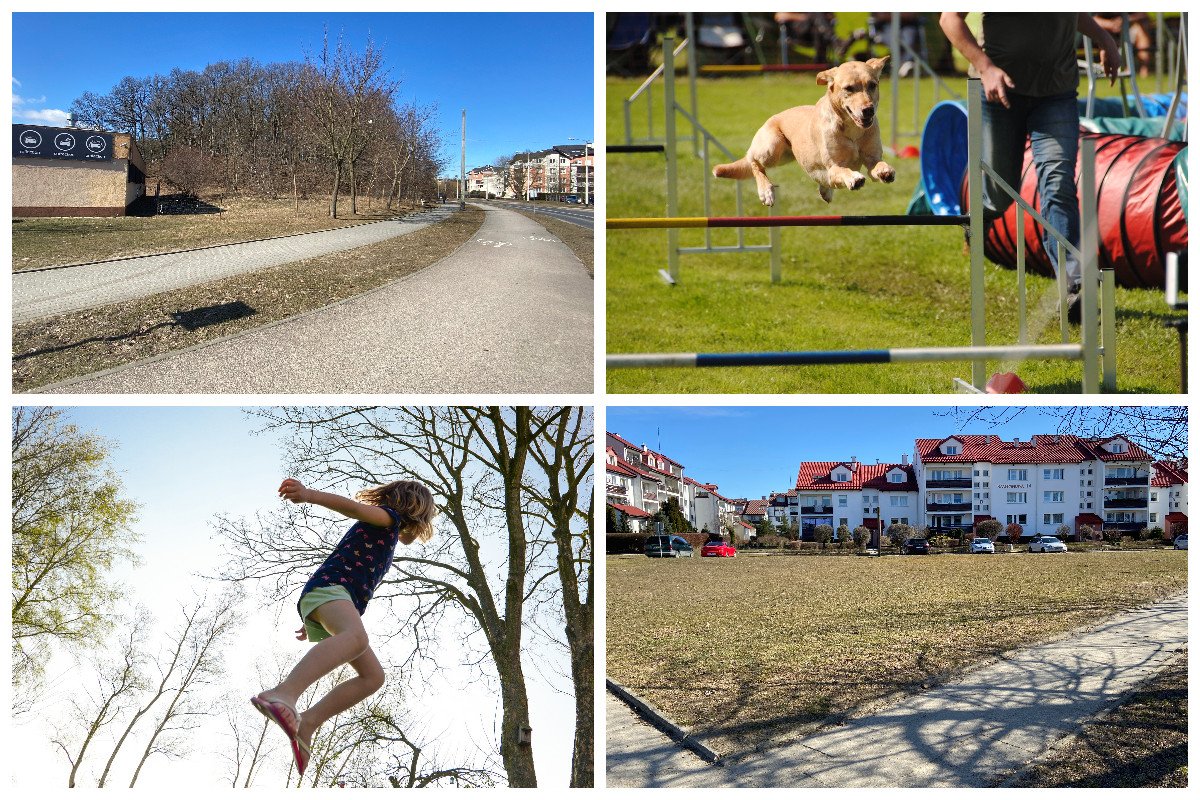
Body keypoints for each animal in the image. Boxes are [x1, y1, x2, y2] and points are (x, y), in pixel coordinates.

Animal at [710, 56, 892, 205]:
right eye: (849, 88)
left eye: (872, 85)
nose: (868, 110)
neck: (852, 129)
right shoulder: (833, 166)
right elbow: (844, 171)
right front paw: (854, 178)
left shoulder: (871, 158)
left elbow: (877, 165)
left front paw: (885, 171)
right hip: (772, 149)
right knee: (754, 161)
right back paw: (766, 191)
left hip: (786, 155)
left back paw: (825, 191)